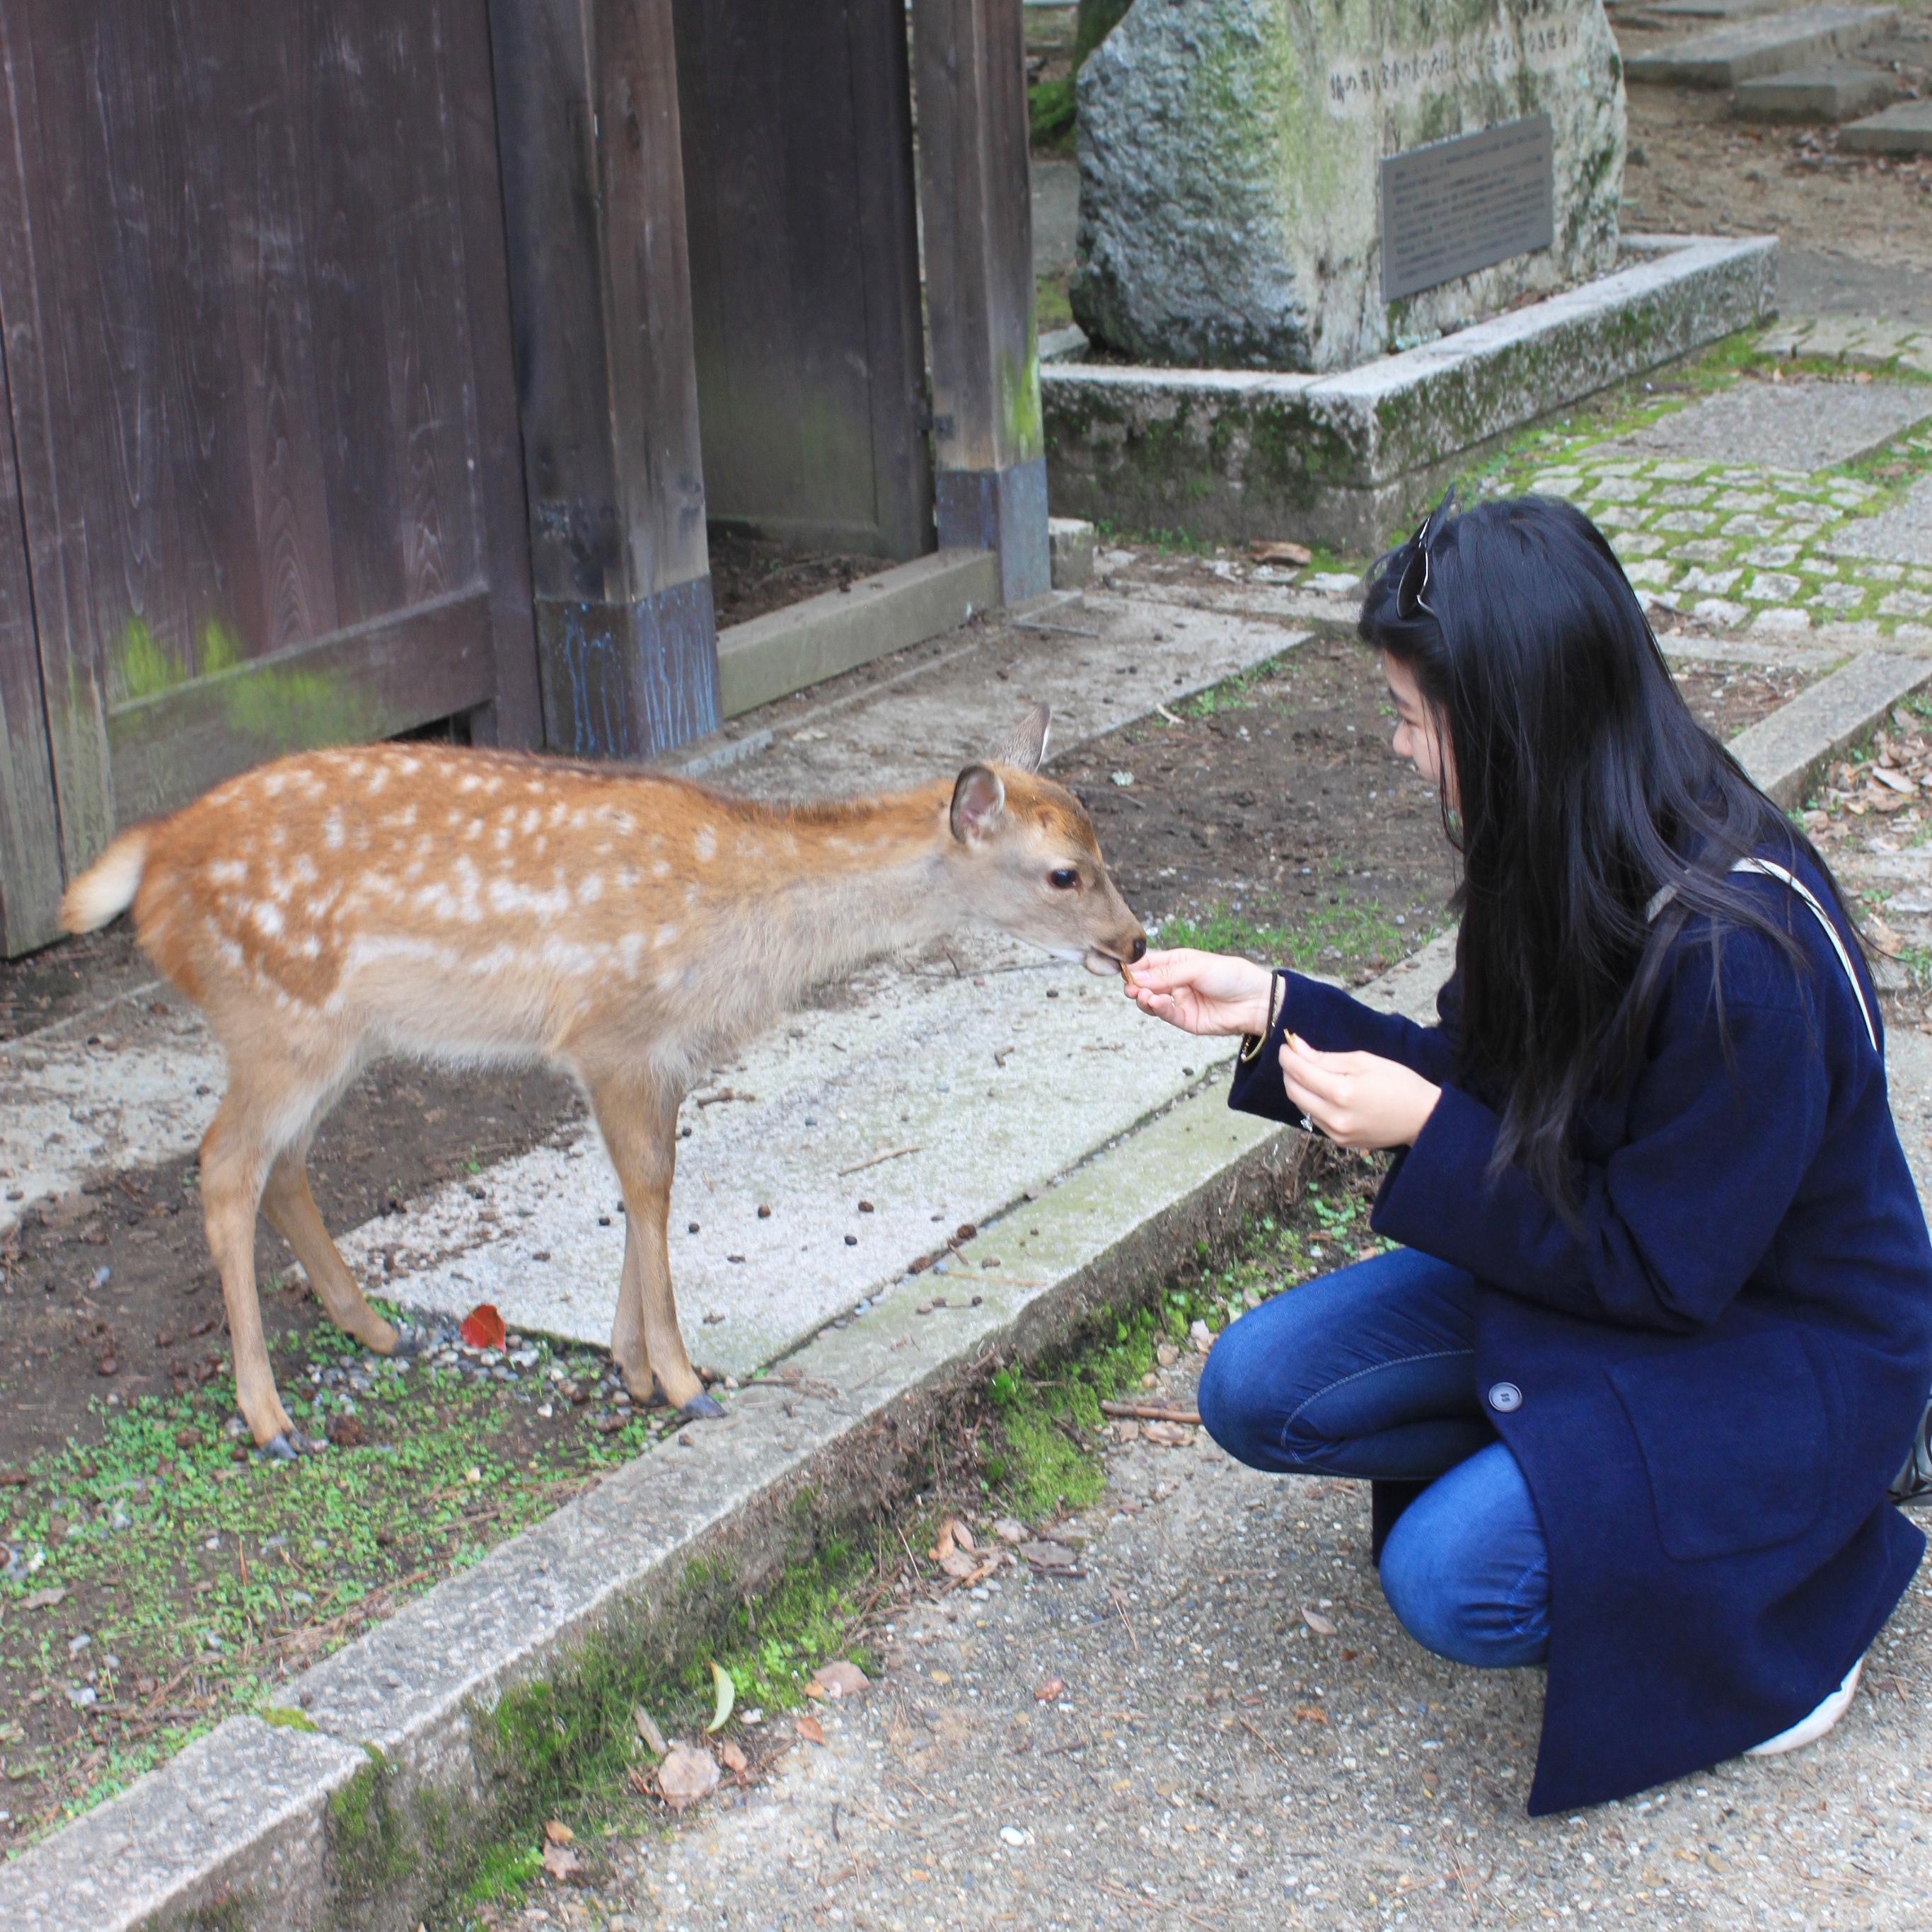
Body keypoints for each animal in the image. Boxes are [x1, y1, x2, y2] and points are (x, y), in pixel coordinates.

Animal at [60, 707, 1135, 1452]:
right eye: (1062, 873)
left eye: (1098, 841)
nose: (1133, 940)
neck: (740, 924)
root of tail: (152, 858)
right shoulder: (610, 1034)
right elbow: (650, 1186)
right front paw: (684, 1382)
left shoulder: (663, 1054)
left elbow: (647, 1183)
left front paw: (633, 1367)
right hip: (273, 1015)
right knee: (224, 1166)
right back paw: (271, 1415)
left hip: (339, 1033)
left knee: (282, 1166)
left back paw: (376, 1330)